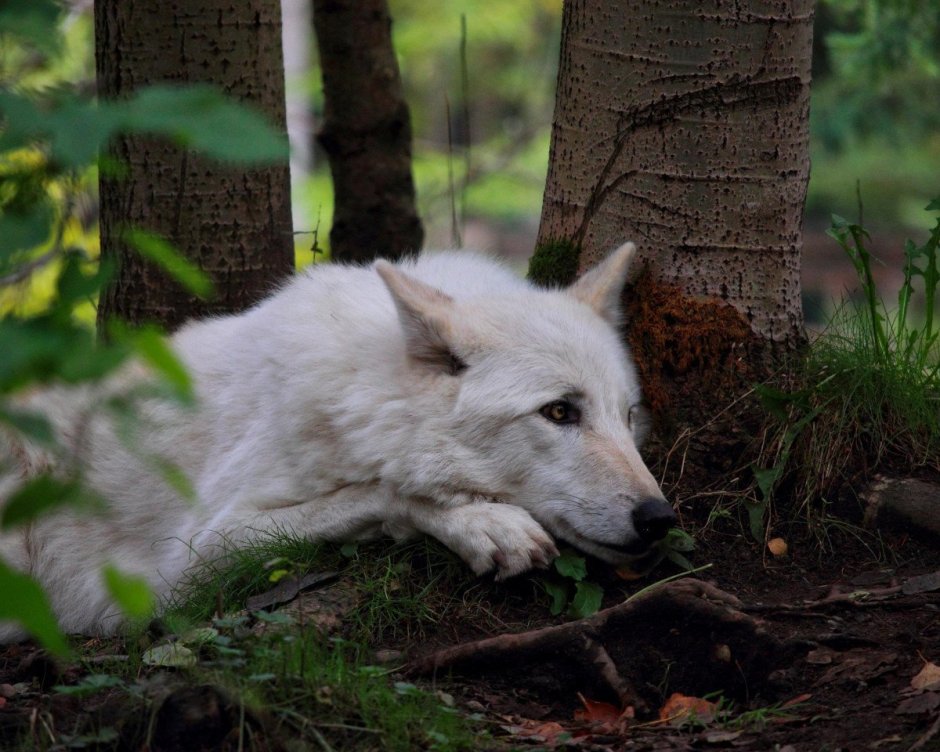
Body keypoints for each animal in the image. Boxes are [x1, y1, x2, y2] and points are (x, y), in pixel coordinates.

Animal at [0, 243, 675, 639]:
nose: (660, 517)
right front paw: (487, 524)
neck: (363, 396)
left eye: (627, 415)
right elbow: (384, 493)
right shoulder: (192, 559)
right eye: (559, 412)